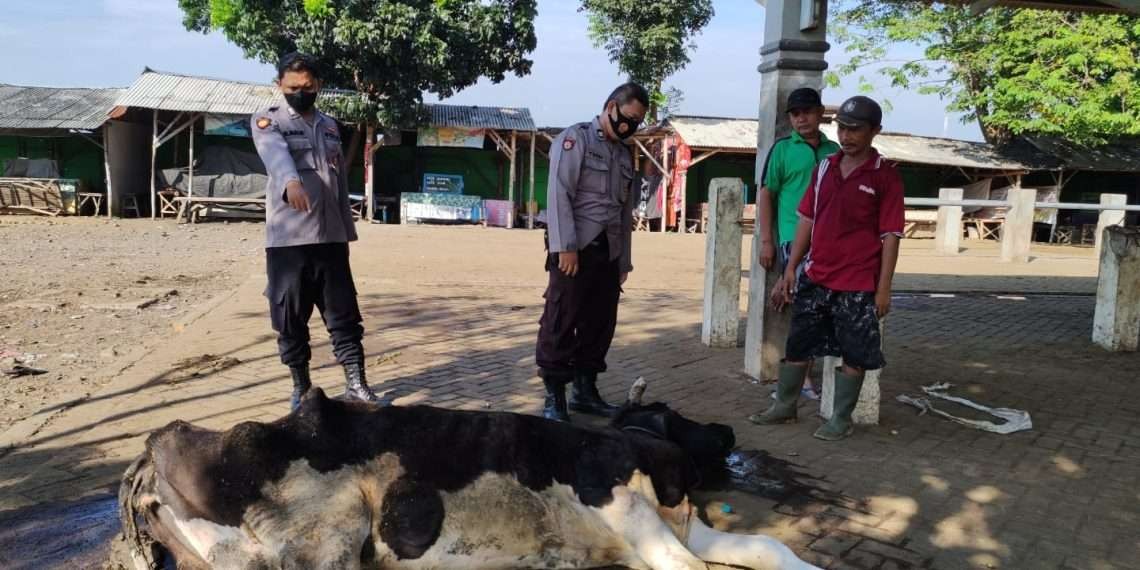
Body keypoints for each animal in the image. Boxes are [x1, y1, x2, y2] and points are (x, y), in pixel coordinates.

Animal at [120, 385, 825, 567]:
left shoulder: (674, 527)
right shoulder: (619, 502)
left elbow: (764, 544)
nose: (727, 431)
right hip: (322, 540)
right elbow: (694, 568)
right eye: (676, 414)